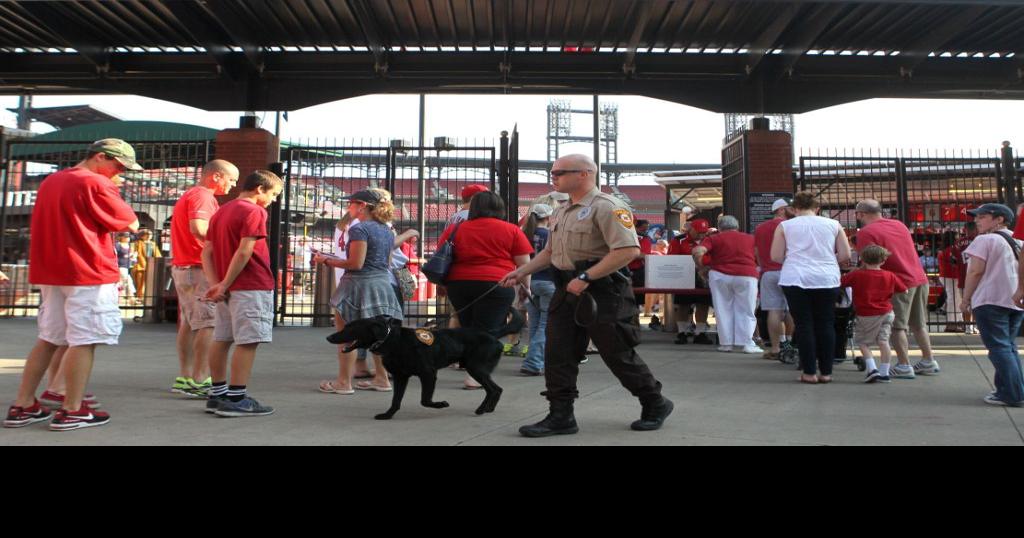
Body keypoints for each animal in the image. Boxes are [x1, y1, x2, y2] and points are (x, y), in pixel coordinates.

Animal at [327, 309, 524, 420]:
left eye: (350, 327)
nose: (329, 337)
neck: (392, 340)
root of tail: (492, 334)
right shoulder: (401, 377)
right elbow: (395, 400)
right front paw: (388, 415)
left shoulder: (428, 373)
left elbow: (425, 400)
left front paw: (440, 404)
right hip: (477, 369)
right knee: (496, 389)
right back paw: (488, 408)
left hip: (476, 369)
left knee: (494, 389)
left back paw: (482, 409)